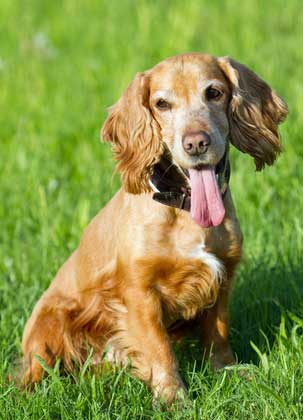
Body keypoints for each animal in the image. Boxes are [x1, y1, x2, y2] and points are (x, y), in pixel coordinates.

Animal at [20, 52, 288, 404]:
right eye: (162, 103)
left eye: (214, 92)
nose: (196, 143)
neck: (185, 210)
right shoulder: (139, 292)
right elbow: (159, 349)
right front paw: (174, 398)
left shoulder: (223, 276)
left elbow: (218, 333)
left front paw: (228, 372)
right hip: (50, 322)